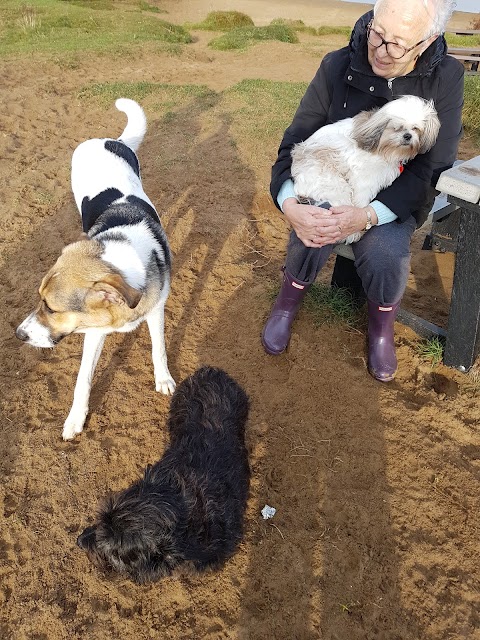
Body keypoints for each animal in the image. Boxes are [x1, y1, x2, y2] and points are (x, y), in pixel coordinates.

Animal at [15, 100, 175, 440]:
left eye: (51, 307)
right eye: (39, 299)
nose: (19, 334)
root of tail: (108, 140)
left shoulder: (156, 309)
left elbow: (159, 348)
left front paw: (163, 379)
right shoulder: (93, 330)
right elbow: (82, 379)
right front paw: (76, 418)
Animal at [290, 95, 440, 242]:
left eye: (415, 128)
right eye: (396, 128)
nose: (408, 136)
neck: (383, 148)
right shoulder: (365, 180)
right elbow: (361, 202)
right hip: (335, 187)